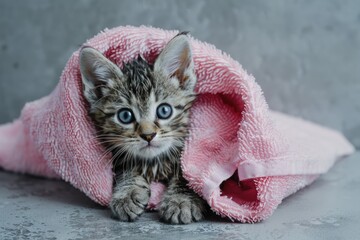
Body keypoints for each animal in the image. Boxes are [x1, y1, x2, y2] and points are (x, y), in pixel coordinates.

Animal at [80, 32, 207, 224]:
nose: (148, 135)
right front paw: (127, 193)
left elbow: (188, 176)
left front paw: (181, 200)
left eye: (164, 111)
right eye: (125, 116)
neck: (154, 162)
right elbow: (127, 169)